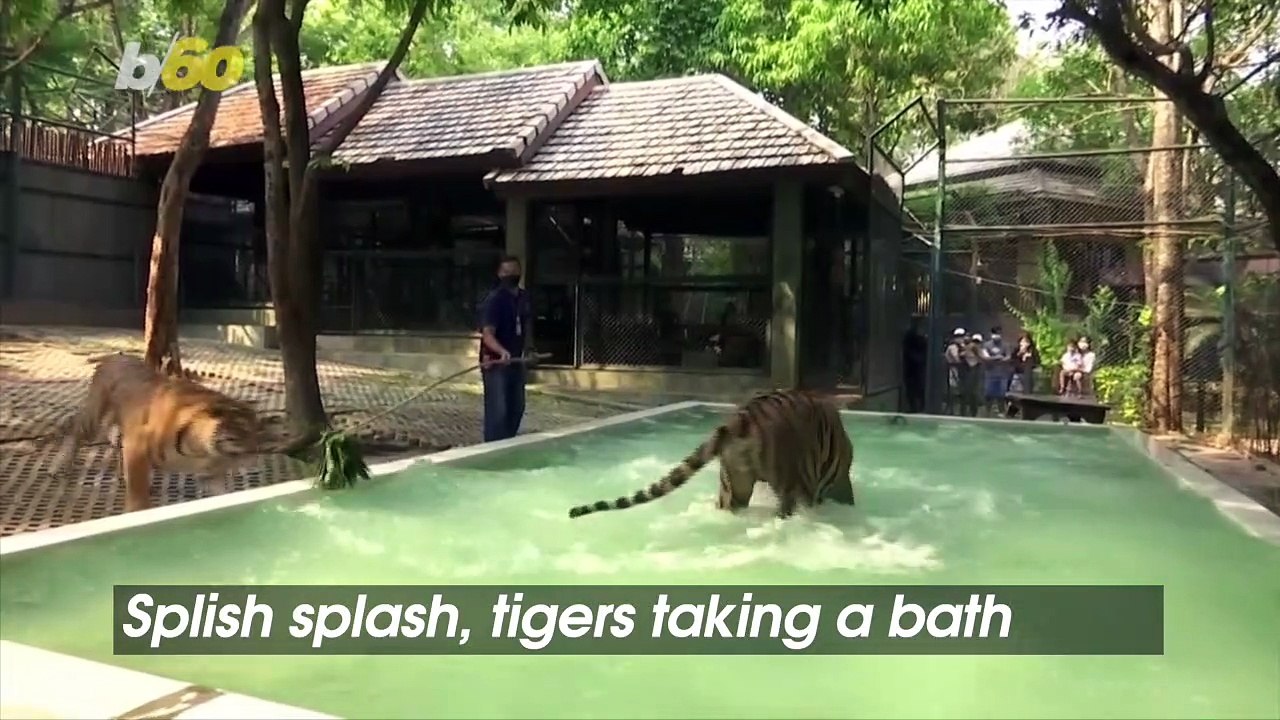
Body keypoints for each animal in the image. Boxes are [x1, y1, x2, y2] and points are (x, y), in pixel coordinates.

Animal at [47, 352, 271, 513]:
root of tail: (114, 356)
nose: (256, 457)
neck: (202, 451)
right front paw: (137, 511)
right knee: (74, 432)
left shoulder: (211, 475)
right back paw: (57, 467)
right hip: (94, 416)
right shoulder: (137, 445)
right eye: (242, 432)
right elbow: (137, 489)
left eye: (258, 433)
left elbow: (221, 494)